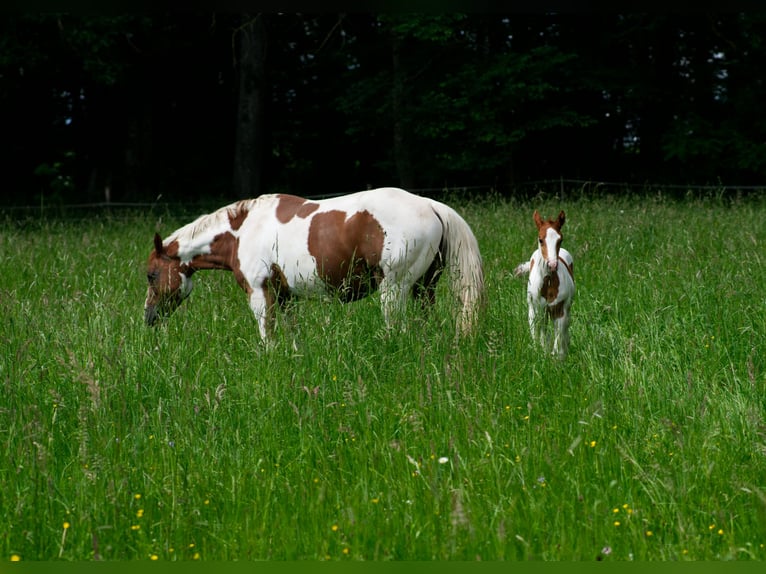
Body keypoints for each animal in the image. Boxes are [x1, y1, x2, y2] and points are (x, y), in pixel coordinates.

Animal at [144, 188, 486, 342]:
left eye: (151, 275)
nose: (148, 317)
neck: (243, 230)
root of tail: (430, 204)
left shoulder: (260, 294)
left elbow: (266, 334)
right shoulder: (286, 297)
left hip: (395, 289)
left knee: (397, 328)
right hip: (424, 288)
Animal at [516, 209, 576, 358]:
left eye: (560, 239)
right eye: (540, 239)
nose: (552, 265)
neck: (548, 283)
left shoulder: (560, 309)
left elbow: (559, 335)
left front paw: (559, 356)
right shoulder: (538, 310)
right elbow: (541, 335)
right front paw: (542, 353)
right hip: (535, 310)